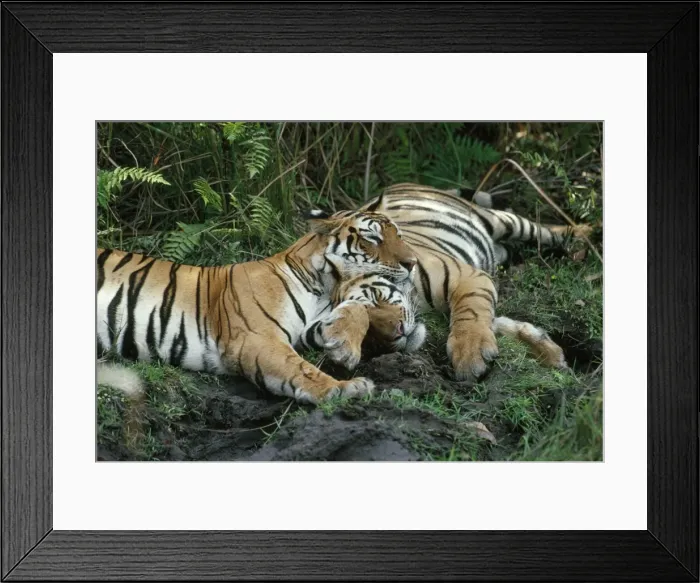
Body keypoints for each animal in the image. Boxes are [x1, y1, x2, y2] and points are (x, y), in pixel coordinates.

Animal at [96, 209, 419, 405]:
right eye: (373, 238)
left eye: (400, 236)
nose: (413, 262)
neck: (325, 287)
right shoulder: (257, 337)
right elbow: (300, 369)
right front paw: (343, 389)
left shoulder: (308, 328)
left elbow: (356, 310)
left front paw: (343, 348)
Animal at [307, 182, 593, 382]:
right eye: (369, 335)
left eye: (376, 299)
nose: (397, 334)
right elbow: (498, 322)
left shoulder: (468, 276)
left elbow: (471, 312)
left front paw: (471, 355)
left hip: (500, 220)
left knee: (545, 229)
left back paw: (583, 235)